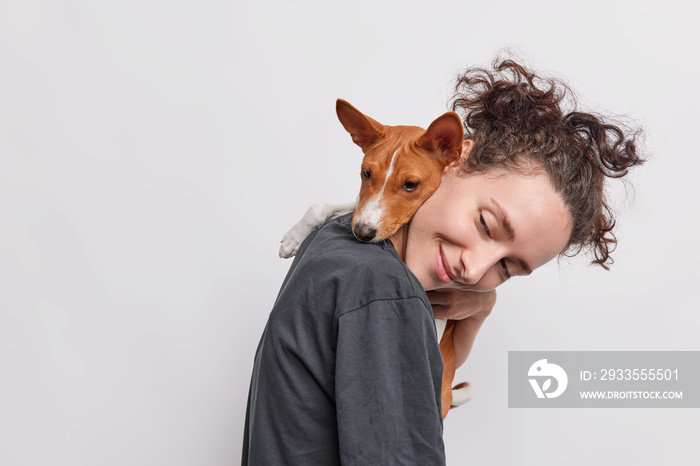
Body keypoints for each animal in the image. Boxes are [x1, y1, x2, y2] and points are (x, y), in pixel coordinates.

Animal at [282, 99, 474, 418]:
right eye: (366, 173)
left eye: (411, 185)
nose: (362, 233)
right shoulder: (359, 206)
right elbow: (321, 206)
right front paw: (293, 238)